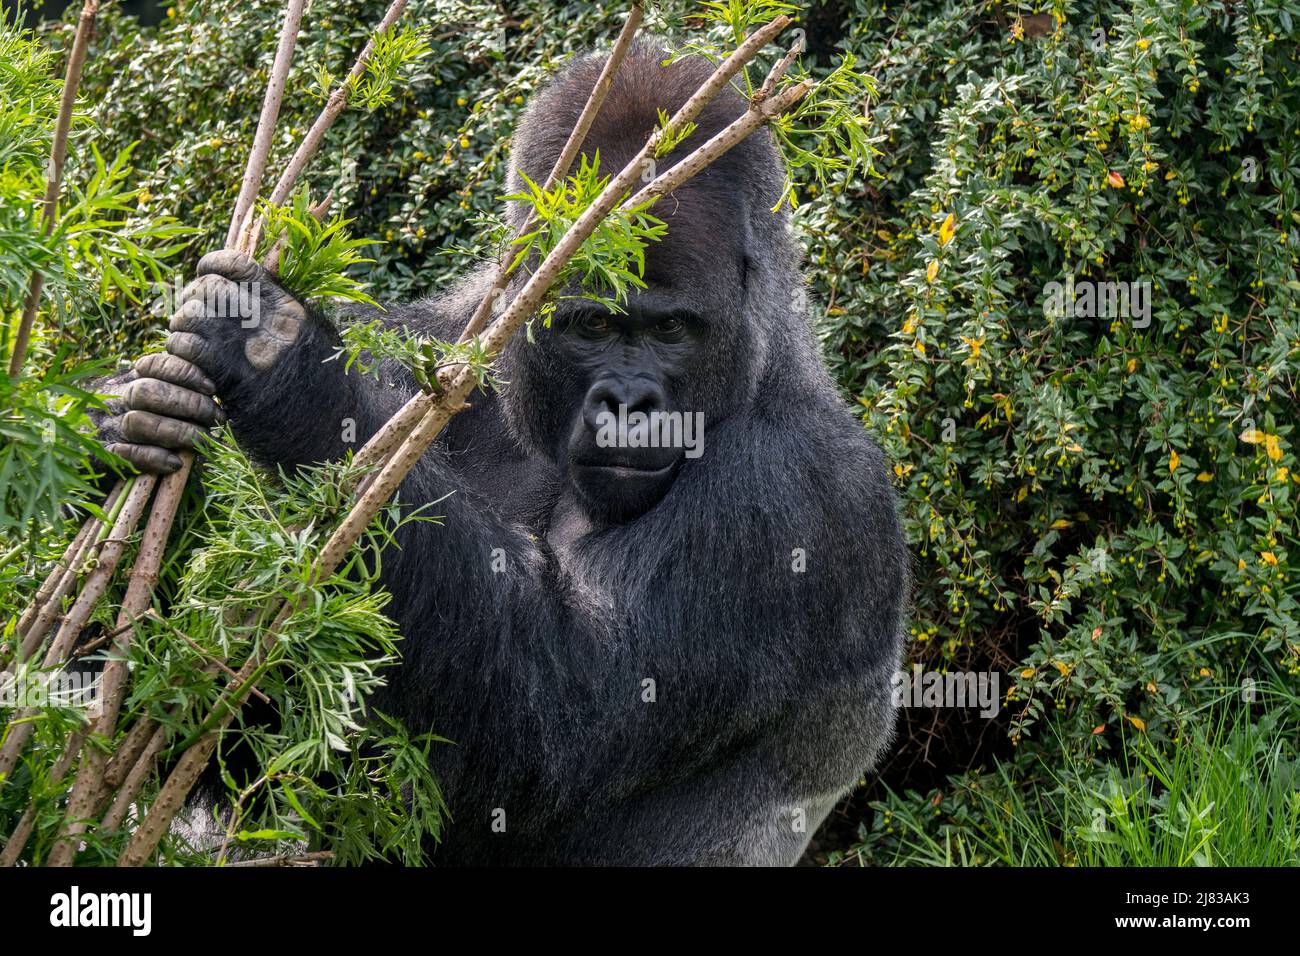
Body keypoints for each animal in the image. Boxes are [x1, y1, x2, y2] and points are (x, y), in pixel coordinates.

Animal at [96, 42, 909, 868]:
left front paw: (278, 358)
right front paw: (128, 429)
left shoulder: (802, 491)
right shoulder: (446, 340)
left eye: (673, 329)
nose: (630, 404)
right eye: (592, 324)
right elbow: (246, 724)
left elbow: (558, 713)